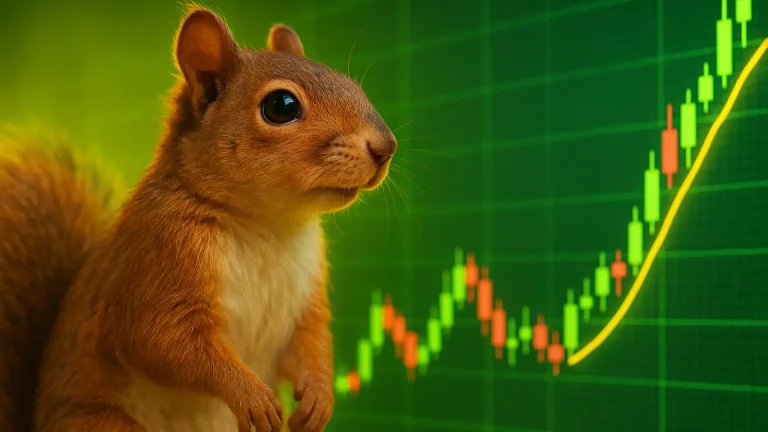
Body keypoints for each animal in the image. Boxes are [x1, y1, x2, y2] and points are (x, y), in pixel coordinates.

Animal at [0, 5, 397, 432]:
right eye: (282, 106)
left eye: (348, 82)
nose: (386, 146)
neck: (266, 226)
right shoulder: (159, 258)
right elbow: (161, 340)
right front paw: (251, 396)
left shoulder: (306, 296)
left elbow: (311, 343)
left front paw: (320, 397)